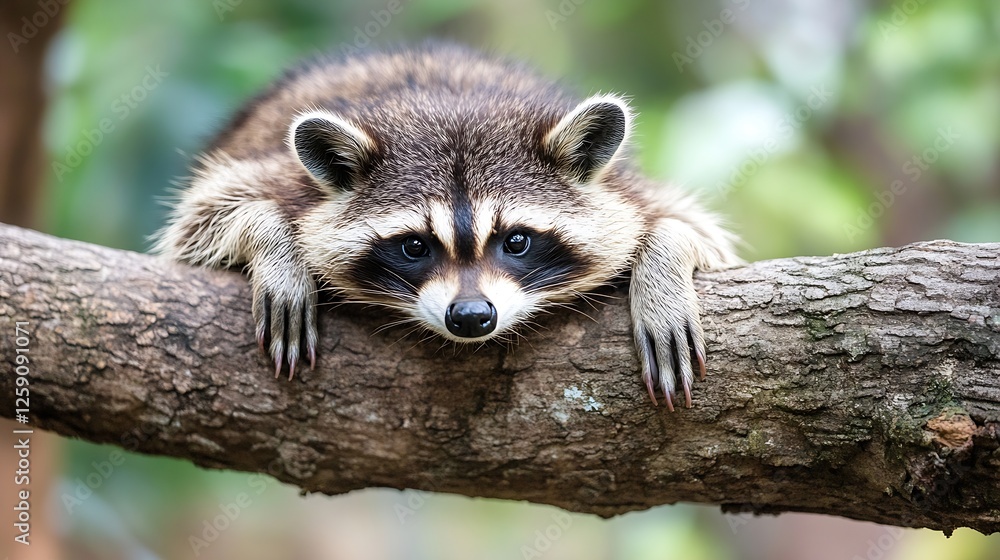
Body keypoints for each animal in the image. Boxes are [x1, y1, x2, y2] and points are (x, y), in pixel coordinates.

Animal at [154, 43, 740, 410]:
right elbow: (202, 218)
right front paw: (275, 245)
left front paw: (664, 261)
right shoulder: (279, 175)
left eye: (516, 241)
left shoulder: (623, 187)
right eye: (414, 246)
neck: (449, 105)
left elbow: (690, 227)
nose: (472, 316)